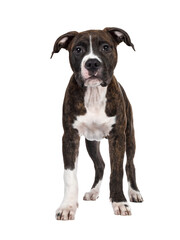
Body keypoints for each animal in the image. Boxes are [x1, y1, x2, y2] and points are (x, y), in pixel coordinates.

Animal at [51, 27, 143, 220]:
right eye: (78, 49)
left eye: (106, 47)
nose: (92, 63)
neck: (93, 94)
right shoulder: (70, 137)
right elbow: (69, 174)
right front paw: (67, 206)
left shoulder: (118, 137)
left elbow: (117, 171)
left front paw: (119, 202)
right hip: (91, 142)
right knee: (100, 165)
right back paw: (93, 191)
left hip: (130, 136)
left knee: (129, 164)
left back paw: (134, 192)